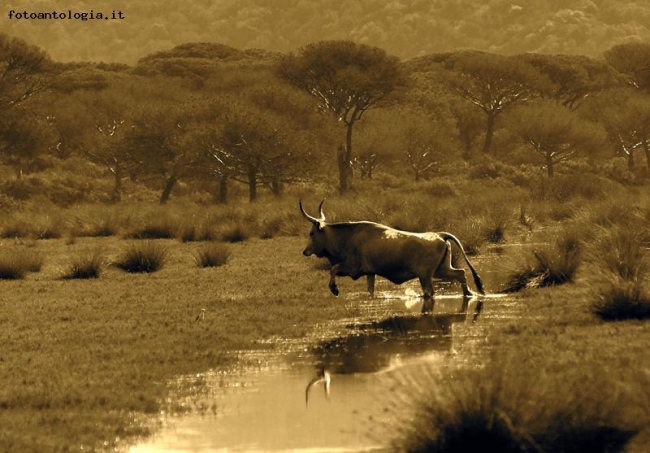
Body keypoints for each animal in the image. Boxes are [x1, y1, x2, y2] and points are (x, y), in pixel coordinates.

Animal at [298, 200, 480, 298]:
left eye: (311, 233)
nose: (305, 251)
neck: (347, 236)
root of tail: (440, 235)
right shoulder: (370, 273)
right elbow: (370, 290)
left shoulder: (352, 268)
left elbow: (333, 269)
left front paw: (334, 289)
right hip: (441, 270)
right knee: (461, 273)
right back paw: (470, 294)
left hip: (425, 276)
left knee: (430, 292)